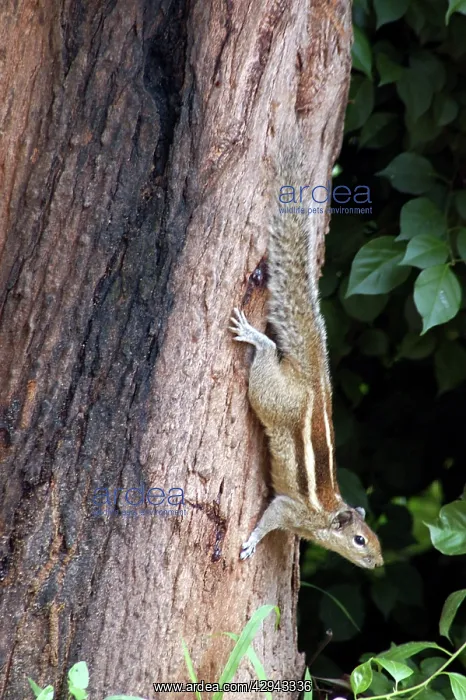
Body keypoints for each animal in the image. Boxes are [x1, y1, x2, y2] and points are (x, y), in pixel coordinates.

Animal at [230, 146, 383, 570]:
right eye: (360, 540)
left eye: (376, 538)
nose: (378, 563)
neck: (325, 516)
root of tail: (314, 379)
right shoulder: (289, 508)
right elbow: (270, 518)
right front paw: (251, 542)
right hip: (271, 396)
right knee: (268, 354)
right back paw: (255, 337)